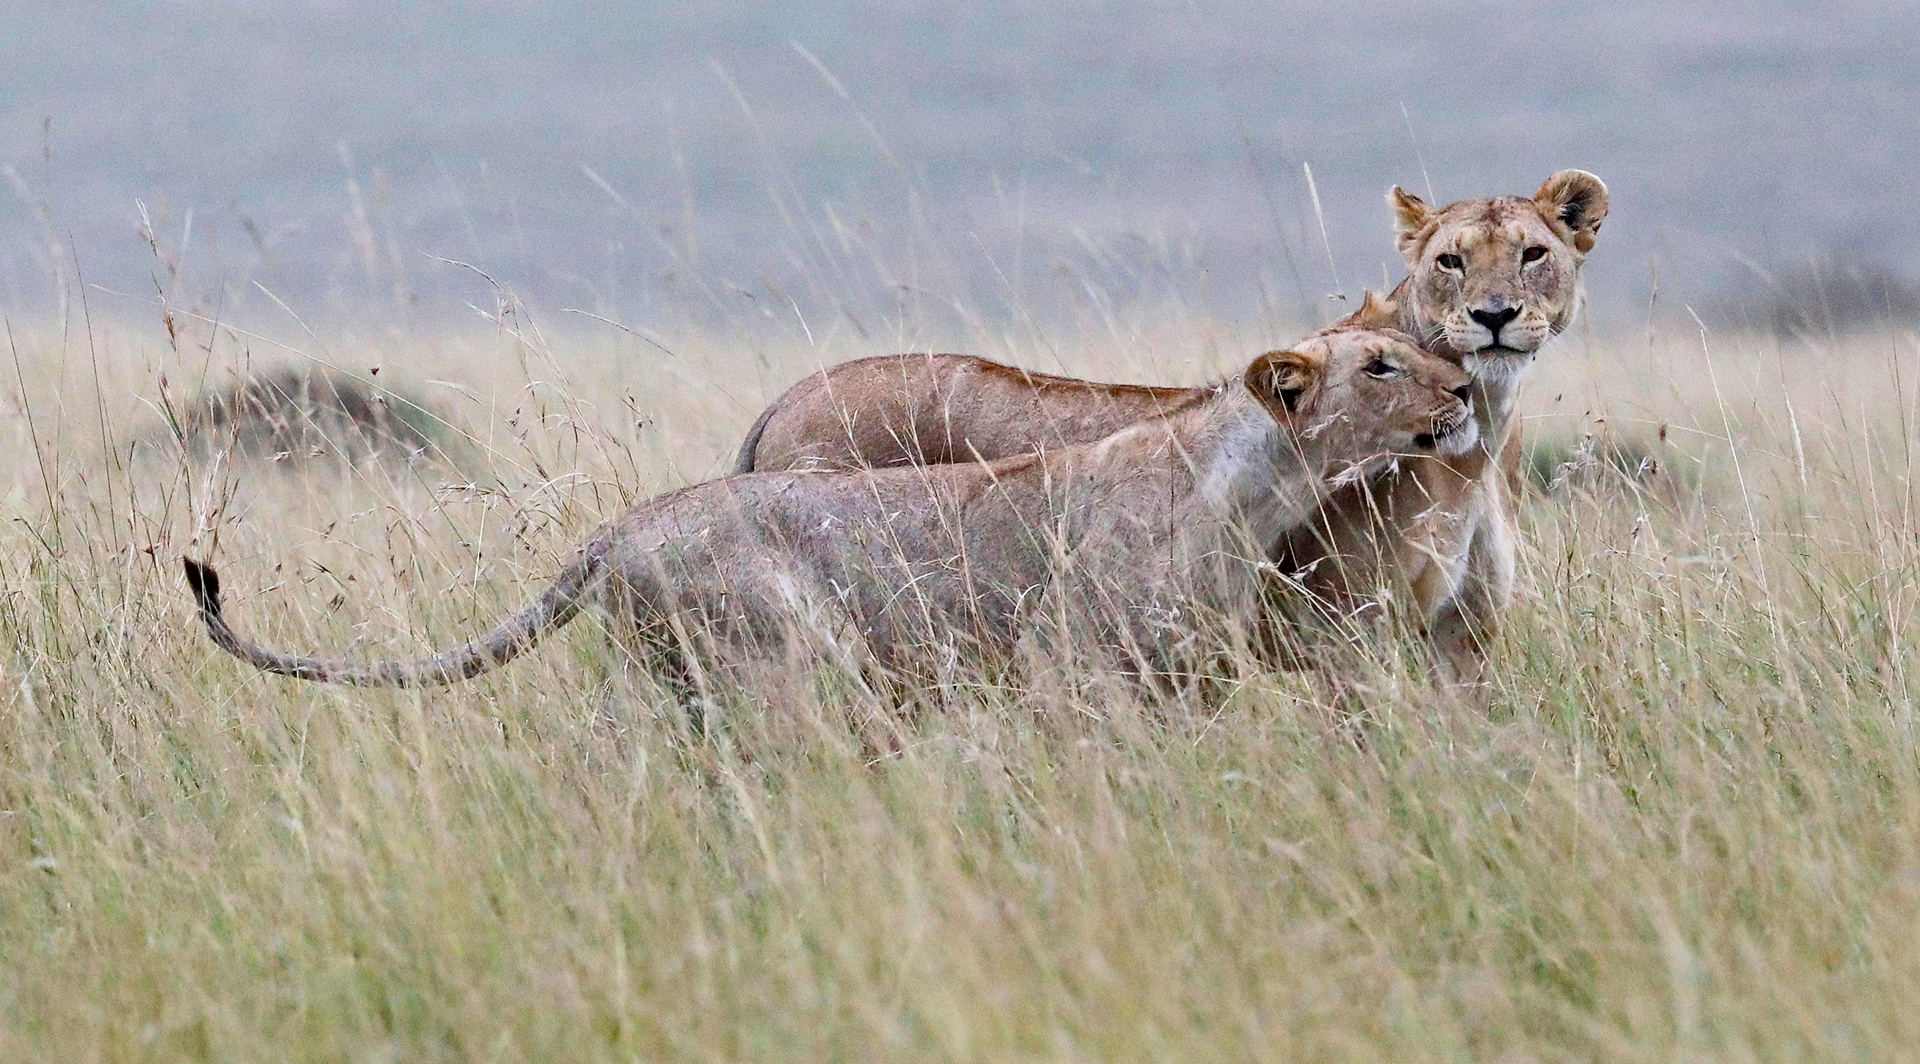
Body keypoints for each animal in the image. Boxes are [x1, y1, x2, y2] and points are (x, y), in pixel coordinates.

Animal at [183, 324, 1466, 687]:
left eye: (1418, 352)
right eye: (1383, 364)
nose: (1464, 384)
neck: (1253, 476)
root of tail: (617, 525)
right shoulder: (1085, 665)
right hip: (783, 654)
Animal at [733, 165, 1605, 679]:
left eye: (1532, 254)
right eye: (1448, 262)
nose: (1493, 318)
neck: (1472, 461)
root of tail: (783, 400)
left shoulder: (1463, 645)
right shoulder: (1335, 636)